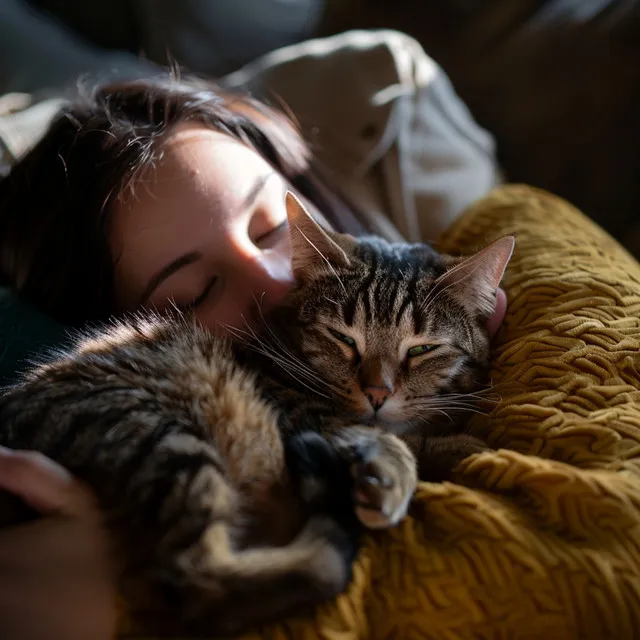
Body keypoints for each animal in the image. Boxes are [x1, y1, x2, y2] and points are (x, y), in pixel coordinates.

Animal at [0, 194, 512, 636]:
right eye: (343, 338)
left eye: (422, 349)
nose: (377, 392)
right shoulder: (297, 411)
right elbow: (385, 436)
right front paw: (422, 459)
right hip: (159, 433)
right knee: (195, 582)